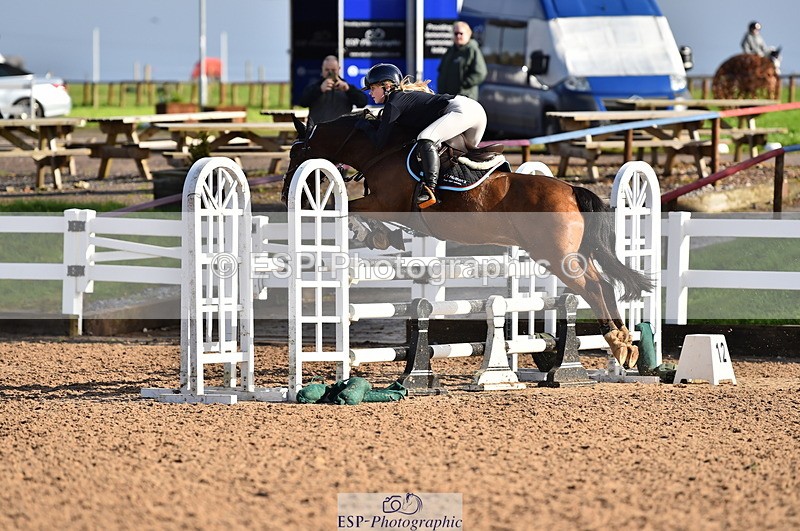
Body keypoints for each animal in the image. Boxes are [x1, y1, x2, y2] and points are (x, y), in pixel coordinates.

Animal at [280, 112, 654, 368]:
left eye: (297, 151)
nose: (286, 194)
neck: (380, 150)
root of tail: (572, 190)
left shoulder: (385, 202)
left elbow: (348, 208)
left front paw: (372, 234)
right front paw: (383, 236)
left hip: (556, 256)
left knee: (593, 288)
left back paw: (618, 343)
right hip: (569, 255)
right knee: (603, 284)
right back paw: (626, 344)